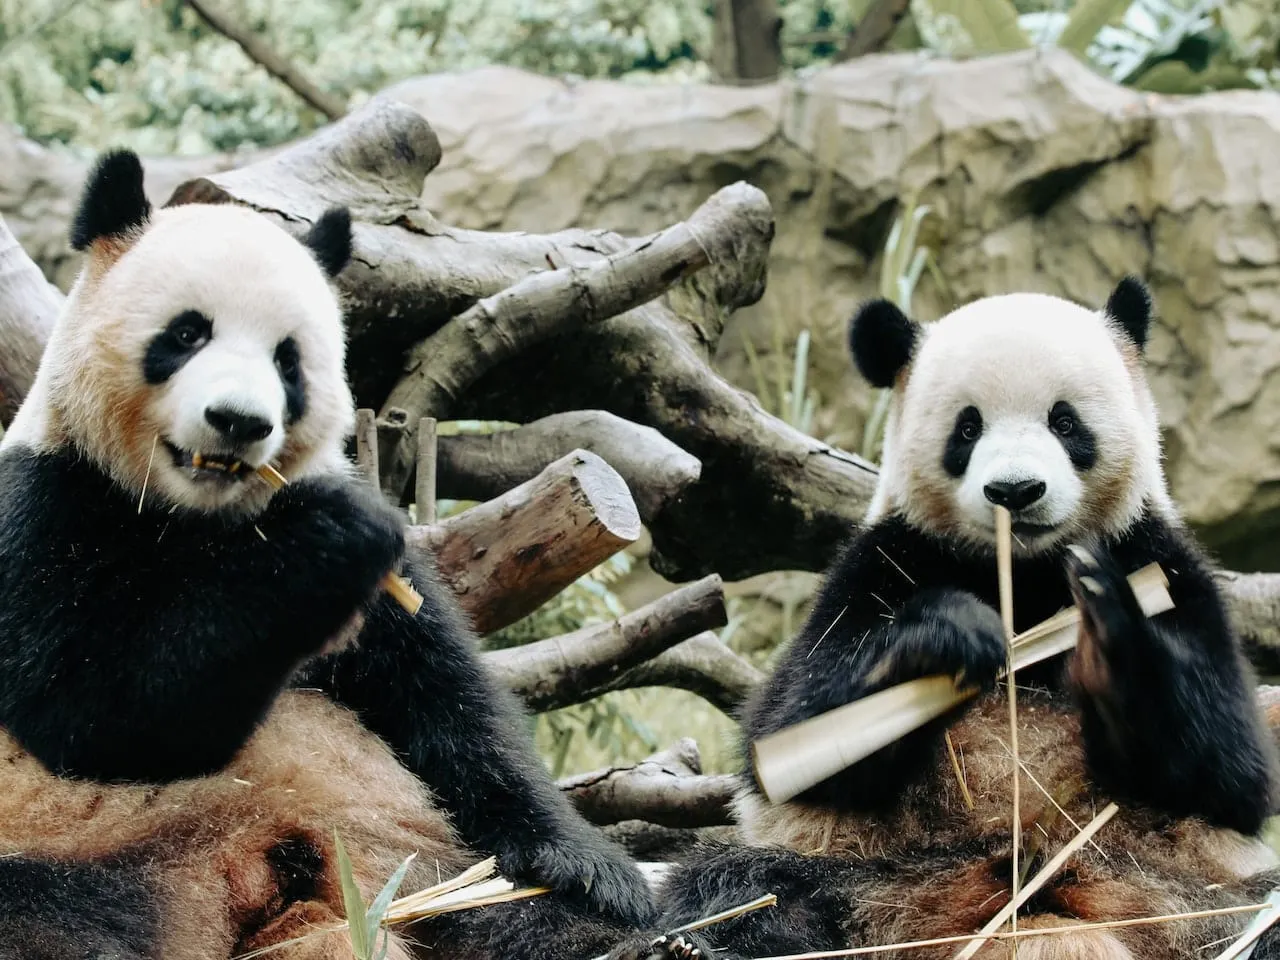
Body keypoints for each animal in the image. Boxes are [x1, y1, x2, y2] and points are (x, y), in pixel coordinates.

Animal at [0, 150, 656, 960]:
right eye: (186, 335)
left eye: (289, 360)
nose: (239, 422)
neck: (198, 519)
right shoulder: (46, 506)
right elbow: (90, 716)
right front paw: (326, 541)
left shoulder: (386, 598)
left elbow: (447, 705)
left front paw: (592, 869)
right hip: (75, 848)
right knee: (56, 917)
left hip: (410, 867)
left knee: (497, 914)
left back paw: (644, 942)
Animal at [614, 280, 1280, 960]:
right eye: (968, 427)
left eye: (1064, 421)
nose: (1015, 491)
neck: (1024, 574)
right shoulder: (881, 563)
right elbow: (792, 729)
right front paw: (950, 635)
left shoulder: (1160, 562)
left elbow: (1232, 769)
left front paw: (1106, 640)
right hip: (866, 874)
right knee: (743, 887)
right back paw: (687, 944)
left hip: (1176, 890)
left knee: (1256, 910)